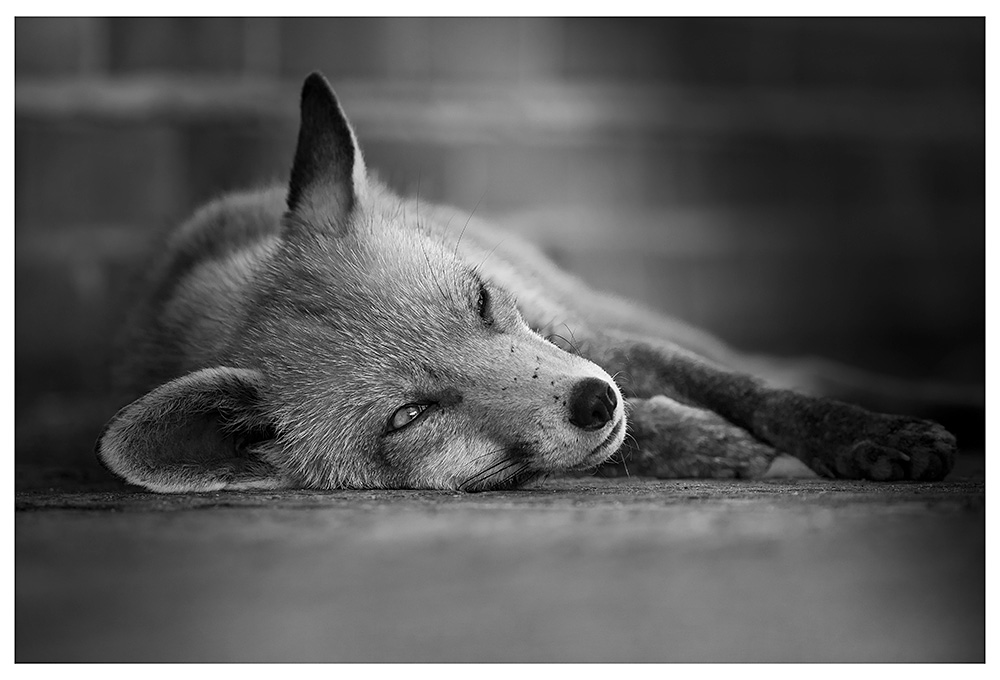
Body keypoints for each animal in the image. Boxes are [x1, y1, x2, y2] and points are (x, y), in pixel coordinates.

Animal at [96, 72, 961, 493]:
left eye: (480, 300)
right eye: (411, 415)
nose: (595, 403)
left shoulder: (589, 335)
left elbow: (759, 393)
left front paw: (866, 437)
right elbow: (644, 440)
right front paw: (698, 444)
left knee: (791, 366)